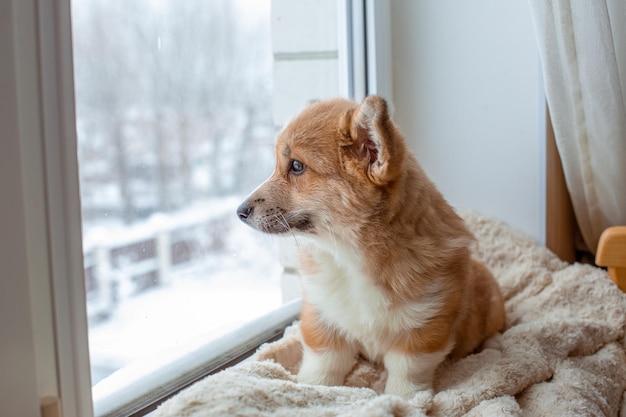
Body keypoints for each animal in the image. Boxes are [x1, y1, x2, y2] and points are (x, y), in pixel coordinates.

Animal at [236, 96, 504, 398]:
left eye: (296, 166)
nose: (239, 211)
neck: (349, 256)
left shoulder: (424, 327)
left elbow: (407, 375)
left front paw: (404, 400)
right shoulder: (323, 314)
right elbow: (323, 363)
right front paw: (312, 388)